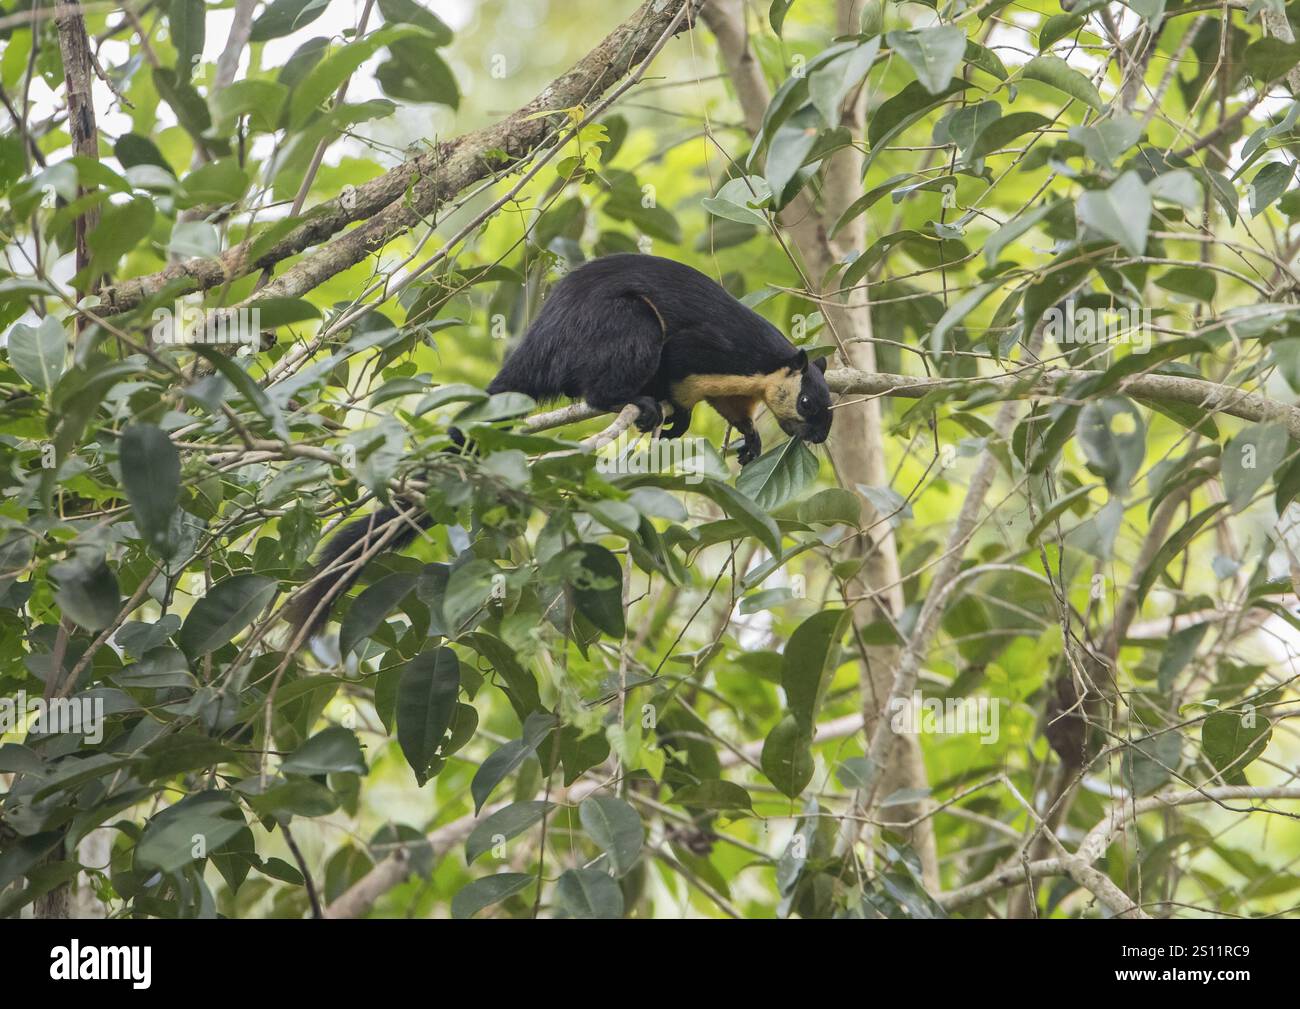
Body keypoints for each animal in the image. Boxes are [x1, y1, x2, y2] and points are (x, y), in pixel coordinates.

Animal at [288, 254, 834, 641]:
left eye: (828, 408)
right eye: (809, 402)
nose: (819, 436)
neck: (762, 365)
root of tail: (540, 341)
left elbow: (735, 412)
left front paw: (750, 438)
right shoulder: (707, 350)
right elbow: (676, 373)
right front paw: (675, 410)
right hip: (623, 324)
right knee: (596, 388)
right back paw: (640, 404)